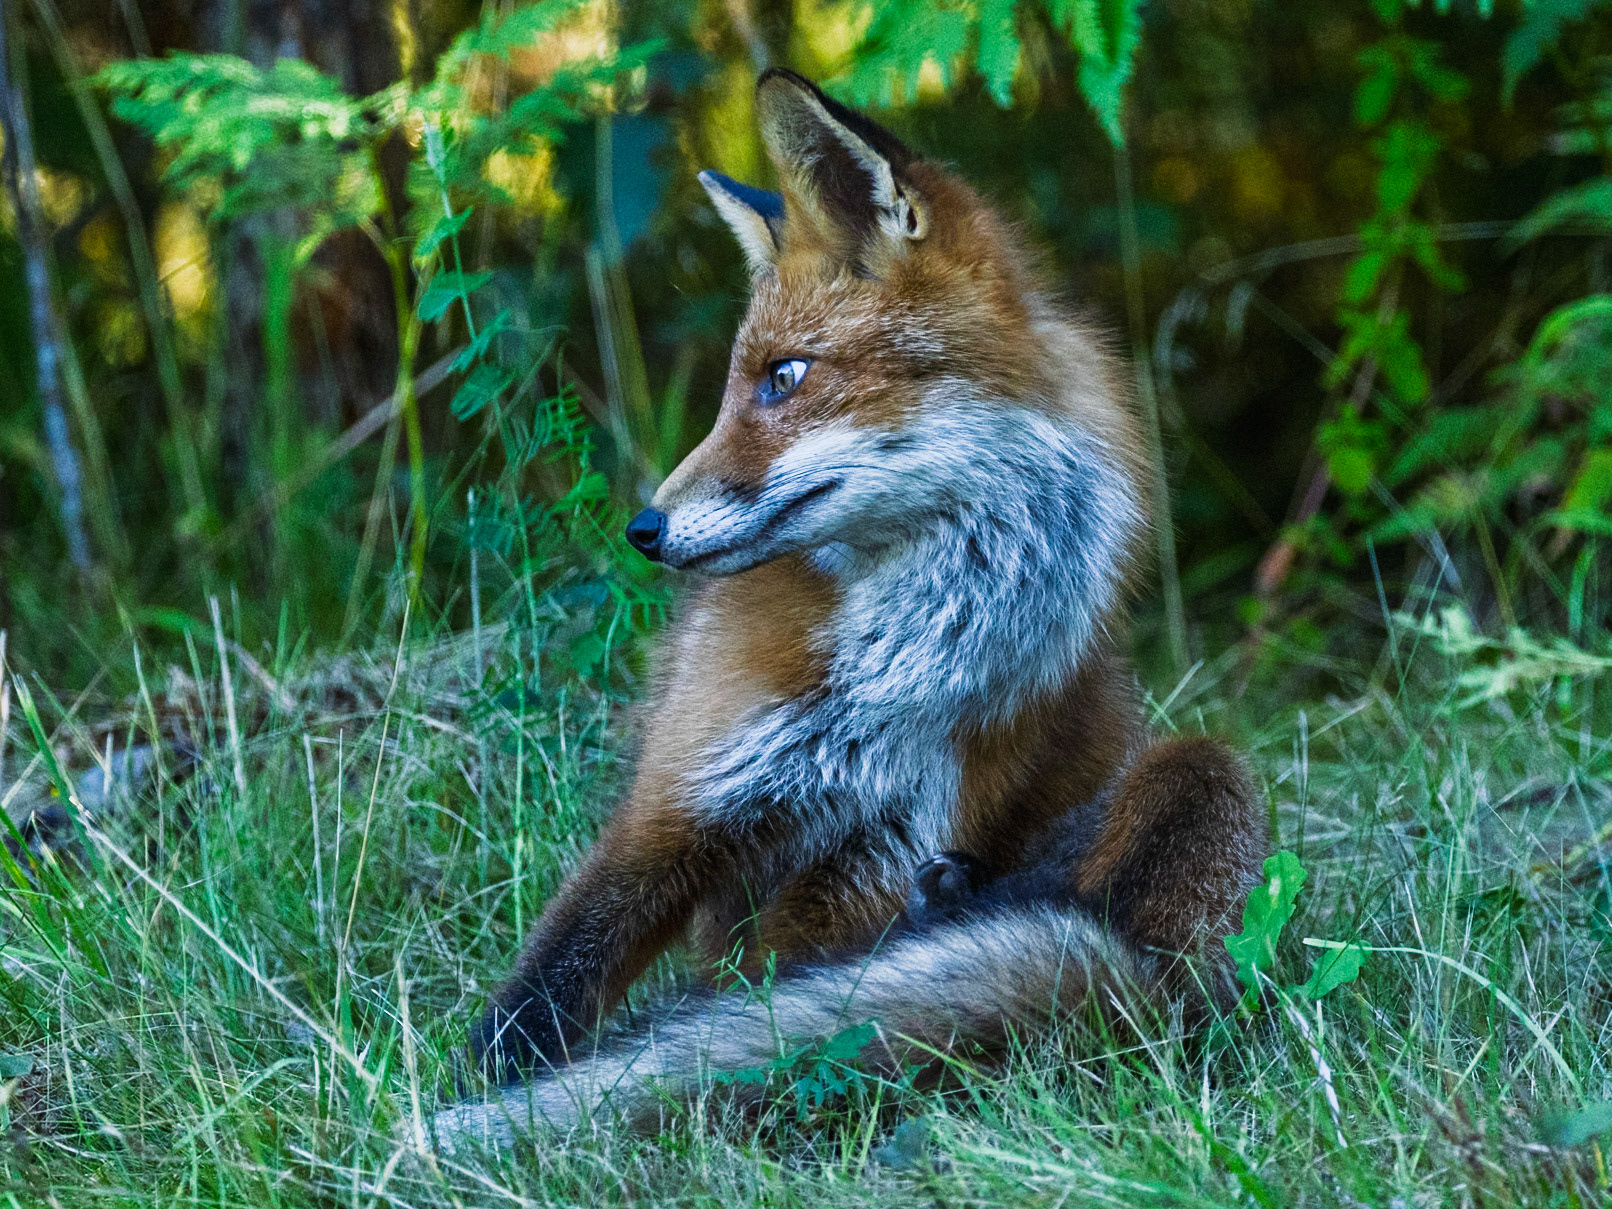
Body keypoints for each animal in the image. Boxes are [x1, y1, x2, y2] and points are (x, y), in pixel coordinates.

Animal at [430, 68, 1267, 1149]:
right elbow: (551, 982)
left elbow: (774, 992)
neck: (889, 668)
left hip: (1201, 779)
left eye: (784, 377)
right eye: (735, 386)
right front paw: (467, 1087)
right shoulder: (682, 800)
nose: (644, 530)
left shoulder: (889, 842)